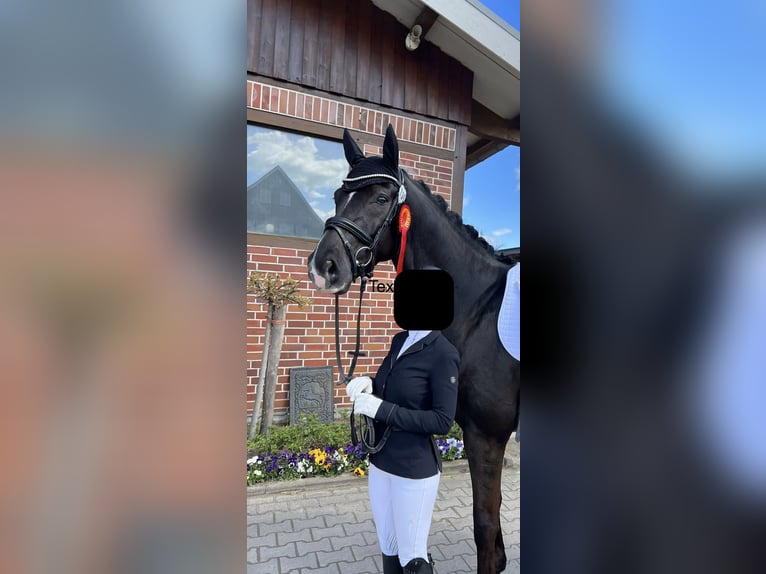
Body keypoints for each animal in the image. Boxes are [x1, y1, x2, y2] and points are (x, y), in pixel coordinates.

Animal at [307, 125, 519, 573]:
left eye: (381, 198)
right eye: (336, 195)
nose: (323, 267)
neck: (480, 311)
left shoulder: (486, 435)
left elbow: (485, 525)